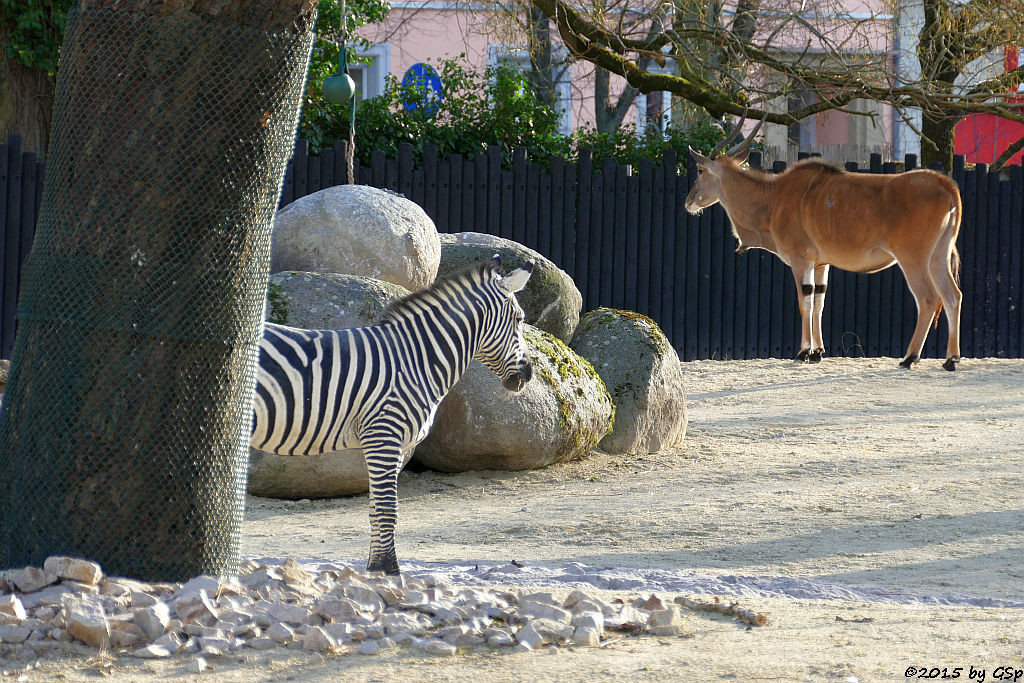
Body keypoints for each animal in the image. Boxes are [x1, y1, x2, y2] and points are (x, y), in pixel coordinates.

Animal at [251, 253, 536, 573]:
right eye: (520, 319)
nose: (529, 374)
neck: (416, 359)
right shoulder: (383, 434)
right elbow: (388, 508)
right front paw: (389, 568)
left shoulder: (395, 446)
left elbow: (376, 508)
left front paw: (375, 567)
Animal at [688, 120, 958, 370]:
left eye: (700, 169)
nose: (688, 201)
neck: (774, 196)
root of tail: (946, 187)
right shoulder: (821, 264)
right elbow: (819, 301)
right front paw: (817, 352)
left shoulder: (801, 260)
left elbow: (804, 301)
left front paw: (803, 353)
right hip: (938, 257)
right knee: (952, 295)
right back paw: (950, 359)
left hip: (913, 259)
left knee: (929, 298)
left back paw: (910, 358)